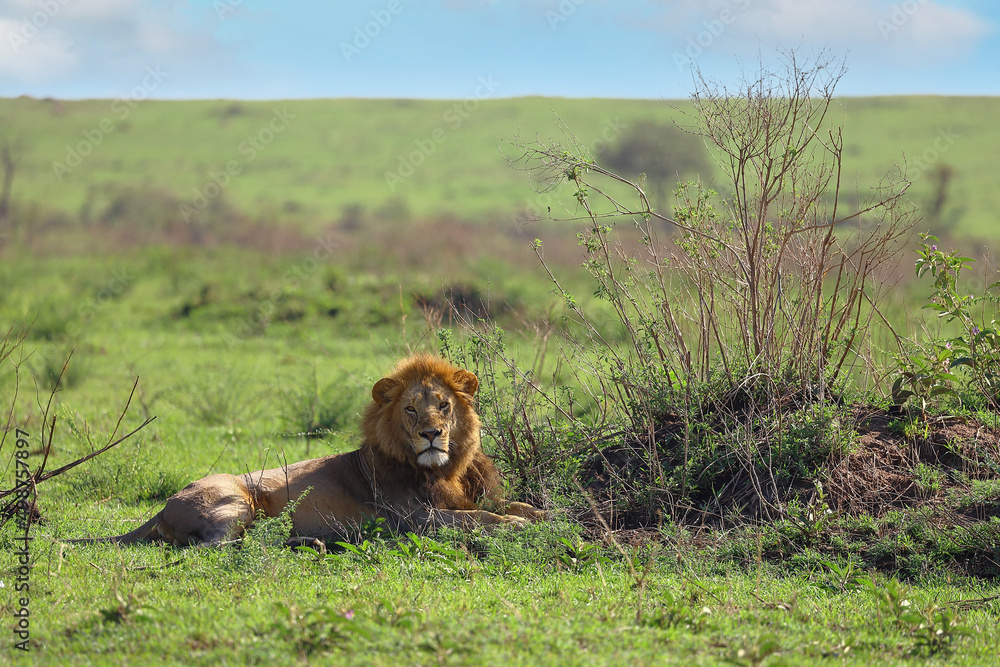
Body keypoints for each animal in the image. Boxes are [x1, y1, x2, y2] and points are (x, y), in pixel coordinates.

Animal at [70, 355, 545, 547]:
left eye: (443, 405)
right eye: (411, 409)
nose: (431, 434)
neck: (441, 469)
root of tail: (164, 505)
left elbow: (511, 506)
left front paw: (544, 515)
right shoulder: (416, 519)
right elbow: (479, 519)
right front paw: (517, 528)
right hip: (236, 502)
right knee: (218, 546)